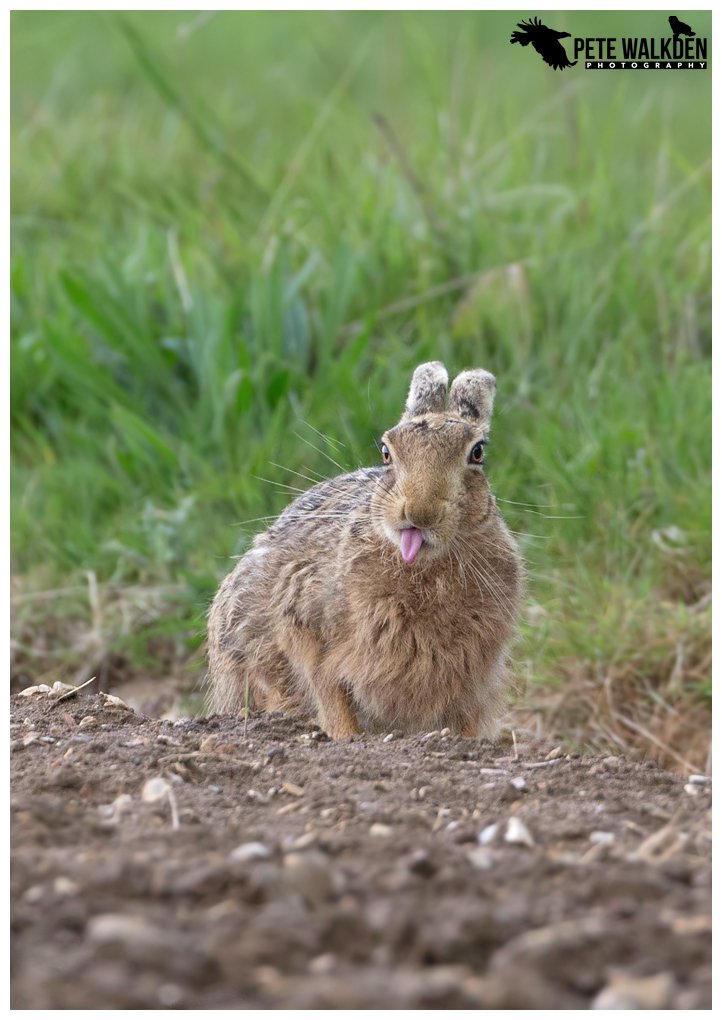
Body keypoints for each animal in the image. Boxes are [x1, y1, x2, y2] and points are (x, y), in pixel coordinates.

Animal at [207, 361, 523, 739]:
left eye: (477, 452)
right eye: (386, 452)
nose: (419, 511)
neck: (422, 567)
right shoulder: (304, 625)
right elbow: (329, 694)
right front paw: (347, 738)